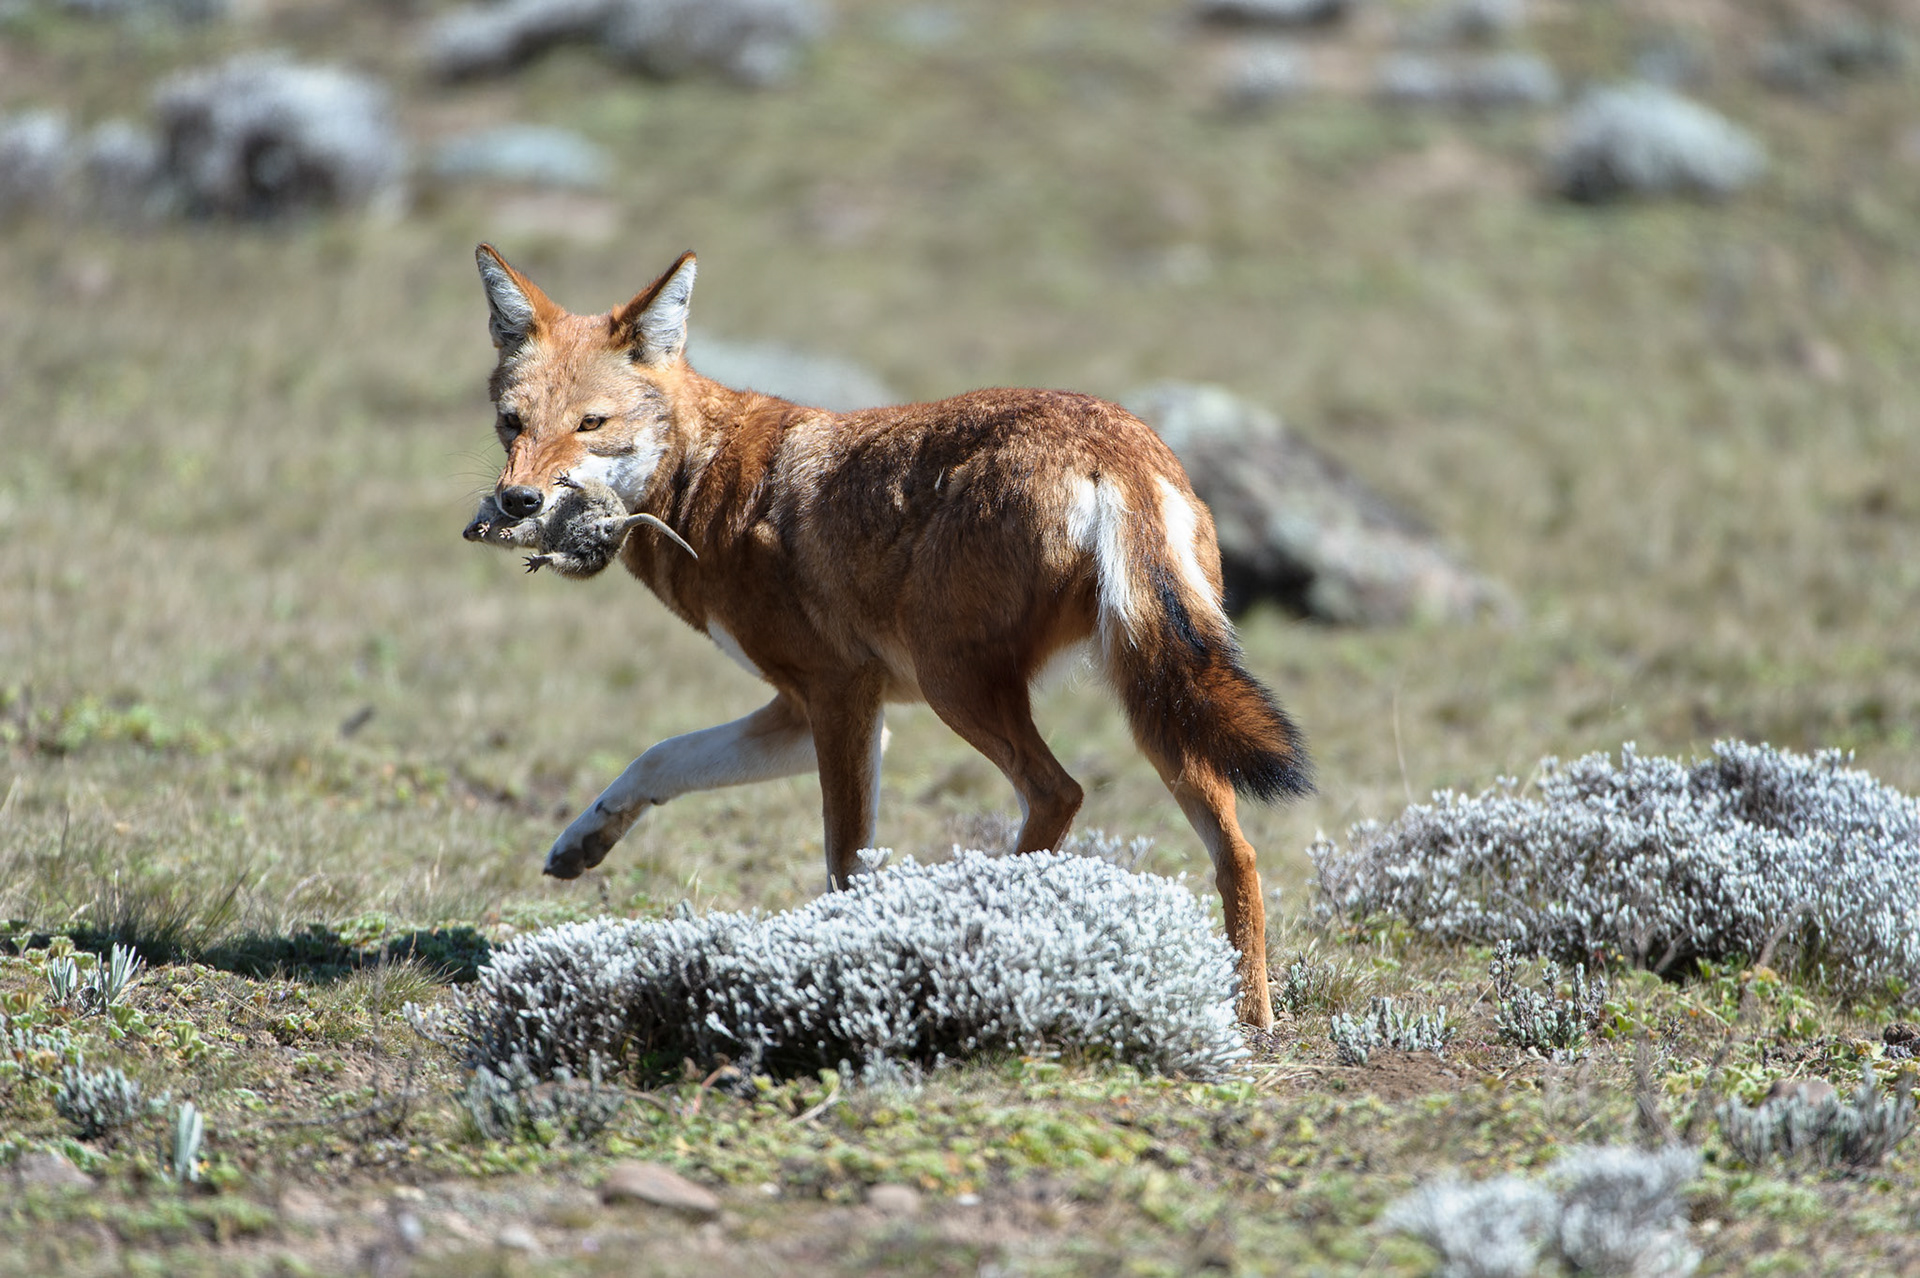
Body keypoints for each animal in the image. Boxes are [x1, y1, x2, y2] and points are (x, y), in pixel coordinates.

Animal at [462, 245, 1310, 1026]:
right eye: (512, 424)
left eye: (591, 425)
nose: (515, 501)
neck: (704, 477)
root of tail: (1116, 449)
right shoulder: (812, 712)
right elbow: (660, 757)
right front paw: (583, 842)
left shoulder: (839, 696)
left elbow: (844, 860)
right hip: (1157, 708)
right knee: (1237, 852)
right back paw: (1252, 1017)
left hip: (961, 690)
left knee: (1059, 792)